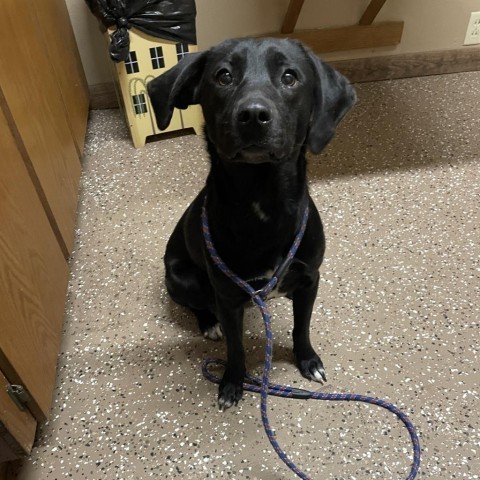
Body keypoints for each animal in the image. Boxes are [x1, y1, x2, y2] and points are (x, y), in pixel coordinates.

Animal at [148, 39, 354, 410]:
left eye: (290, 76)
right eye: (223, 76)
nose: (254, 115)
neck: (263, 198)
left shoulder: (309, 279)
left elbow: (302, 327)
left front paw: (307, 360)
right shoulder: (228, 298)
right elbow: (236, 347)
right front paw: (232, 382)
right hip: (183, 279)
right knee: (198, 305)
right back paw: (209, 325)